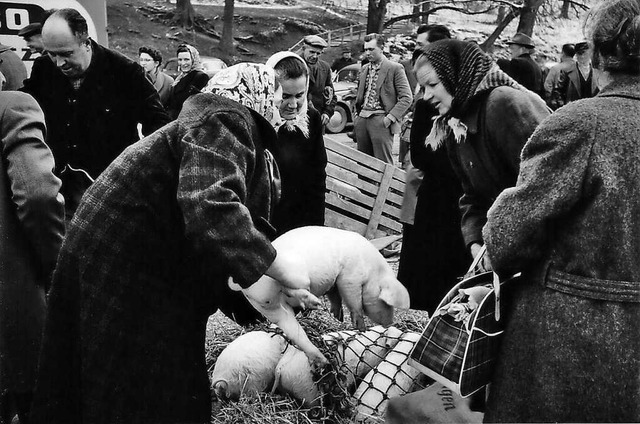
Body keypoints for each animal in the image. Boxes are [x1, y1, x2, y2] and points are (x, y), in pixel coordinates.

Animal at [230, 227, 410, 370]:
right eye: (386, 303)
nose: (389, 323)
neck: (373, 271)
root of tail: (243, 285)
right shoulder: (350, 277)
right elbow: (354, 301)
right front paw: (361, 328)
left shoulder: (334, 284)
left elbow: (335, 297)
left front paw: (338, 317)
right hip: (295, 273)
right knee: (290, 288)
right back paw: (314, 304)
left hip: (270, 307)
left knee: (294, 331)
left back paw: (323, 361)